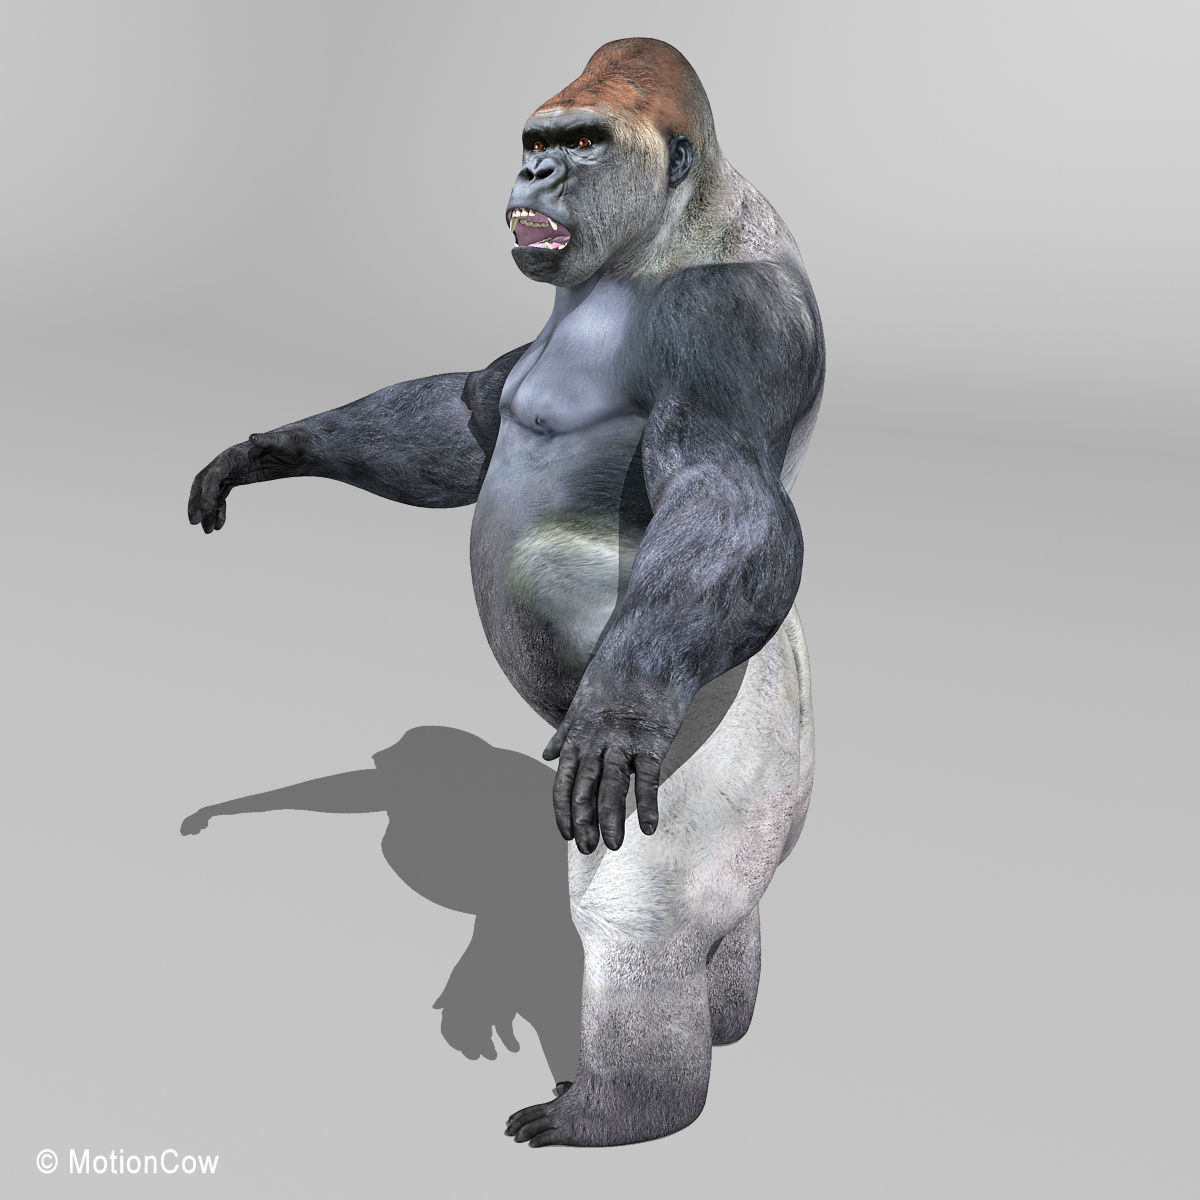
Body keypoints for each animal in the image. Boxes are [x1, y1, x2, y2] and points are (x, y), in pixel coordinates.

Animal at [187, 38, 824, 1147]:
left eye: (585, 142)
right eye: (538, 138)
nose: (535, 170)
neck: (665, 234)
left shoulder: (730, 323)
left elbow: (721, 487)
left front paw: (621, 704)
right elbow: (468, 418)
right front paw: (262, 451)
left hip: (733, 750)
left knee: (637, 912)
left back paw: (622, 1107)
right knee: (722, 915)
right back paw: (728, 1011)